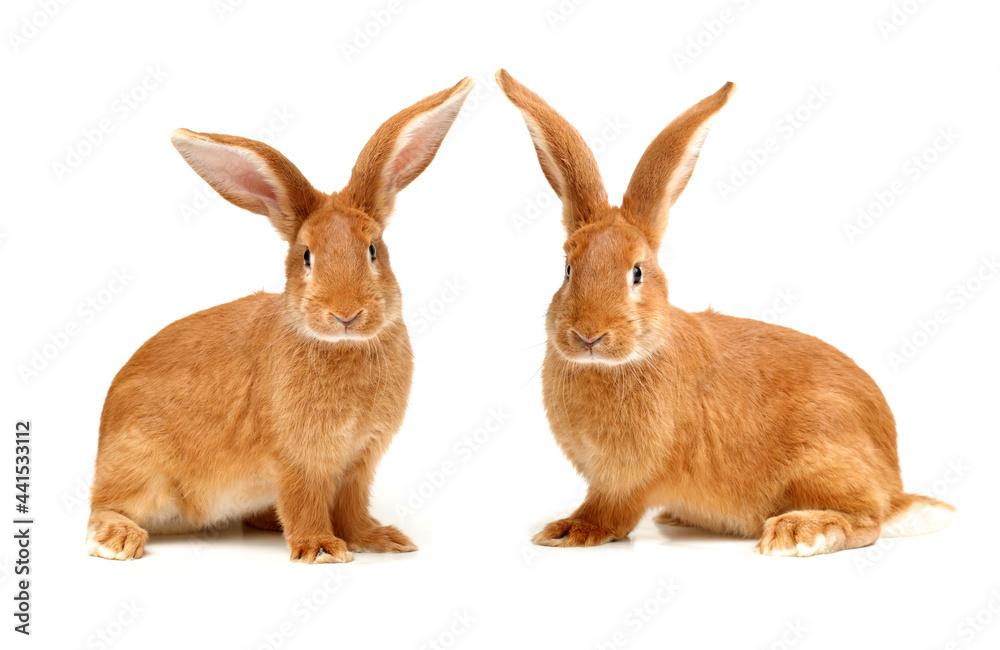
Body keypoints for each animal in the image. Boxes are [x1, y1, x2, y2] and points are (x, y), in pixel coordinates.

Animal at [86, 77, 474, 563]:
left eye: (373, 249)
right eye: (306, 256)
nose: (346, 314)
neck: (340, 347)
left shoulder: (360, 461)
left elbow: (351, 507)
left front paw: (378, 539)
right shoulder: (296, 459)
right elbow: (304, 501)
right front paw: (321, 548)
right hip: (139, 466)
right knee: (104, 507)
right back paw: (119, 540)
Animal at [496, 69, 954, 557]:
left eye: (637, 272)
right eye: (567, 268)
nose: (588, 335)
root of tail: (893, 481)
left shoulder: (631, 479)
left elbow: (611, 510)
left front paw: (569, 530)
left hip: (825, 456)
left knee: (869, 519)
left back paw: (799, 533)